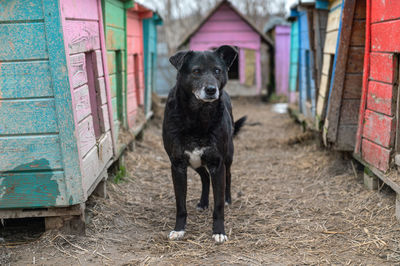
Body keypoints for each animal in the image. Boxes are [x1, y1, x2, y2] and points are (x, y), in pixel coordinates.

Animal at [163, 45, 247, 243]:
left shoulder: (217, 163)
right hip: (195, 162)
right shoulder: (177, 165)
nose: (211, 90)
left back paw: (227, 198)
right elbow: (180, 204)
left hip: (228, 156)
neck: (197, 117)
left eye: (217, 71)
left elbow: (218, 206)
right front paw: (179, 229)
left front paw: (219, 231)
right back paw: (203, 202)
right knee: (204, 176)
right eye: (196, 71)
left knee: (228, 176)